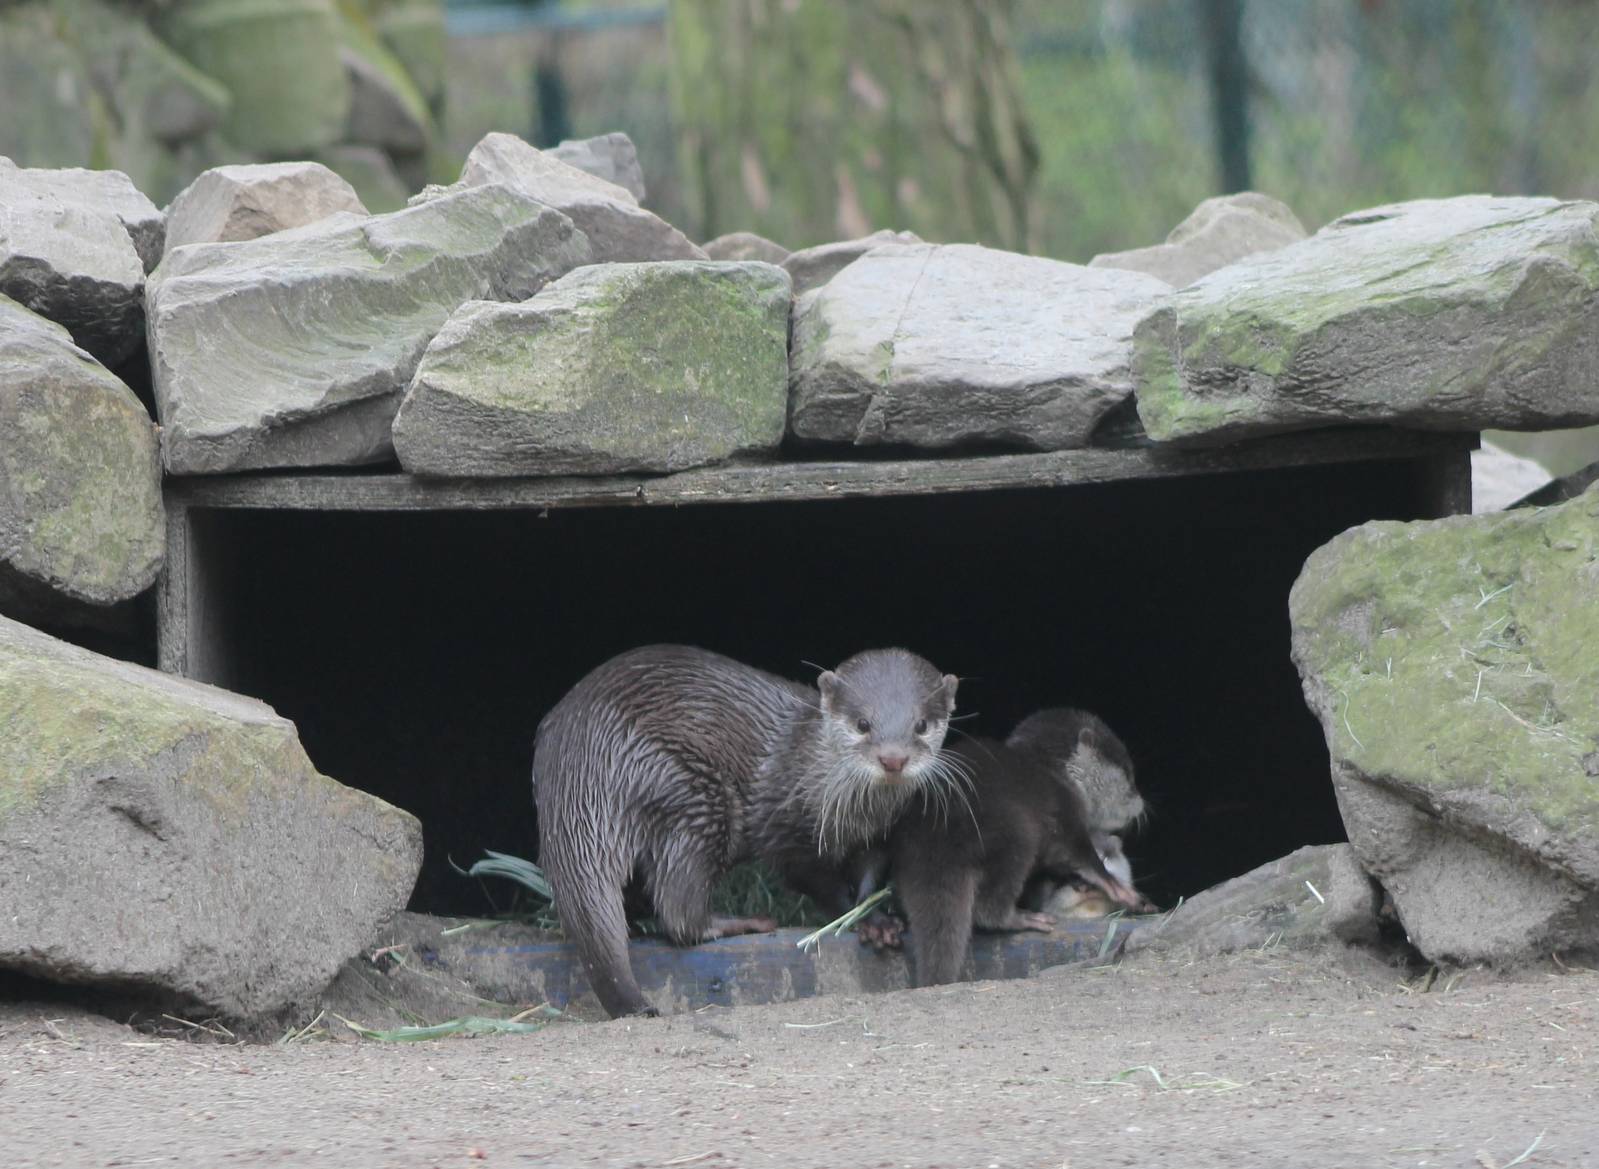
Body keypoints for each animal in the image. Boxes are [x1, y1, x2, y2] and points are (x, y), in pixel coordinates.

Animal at [532, 644, 957, 1018]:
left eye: (921, 725)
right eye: (862, 723)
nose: (893, 758)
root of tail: (576, 760)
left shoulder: (880, 833)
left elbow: (869, 877)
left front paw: (878, 918)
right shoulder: (787, 829)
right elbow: (815, 880)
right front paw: (863, 919)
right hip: (691, 789)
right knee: (678, 914)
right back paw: (742, 922)